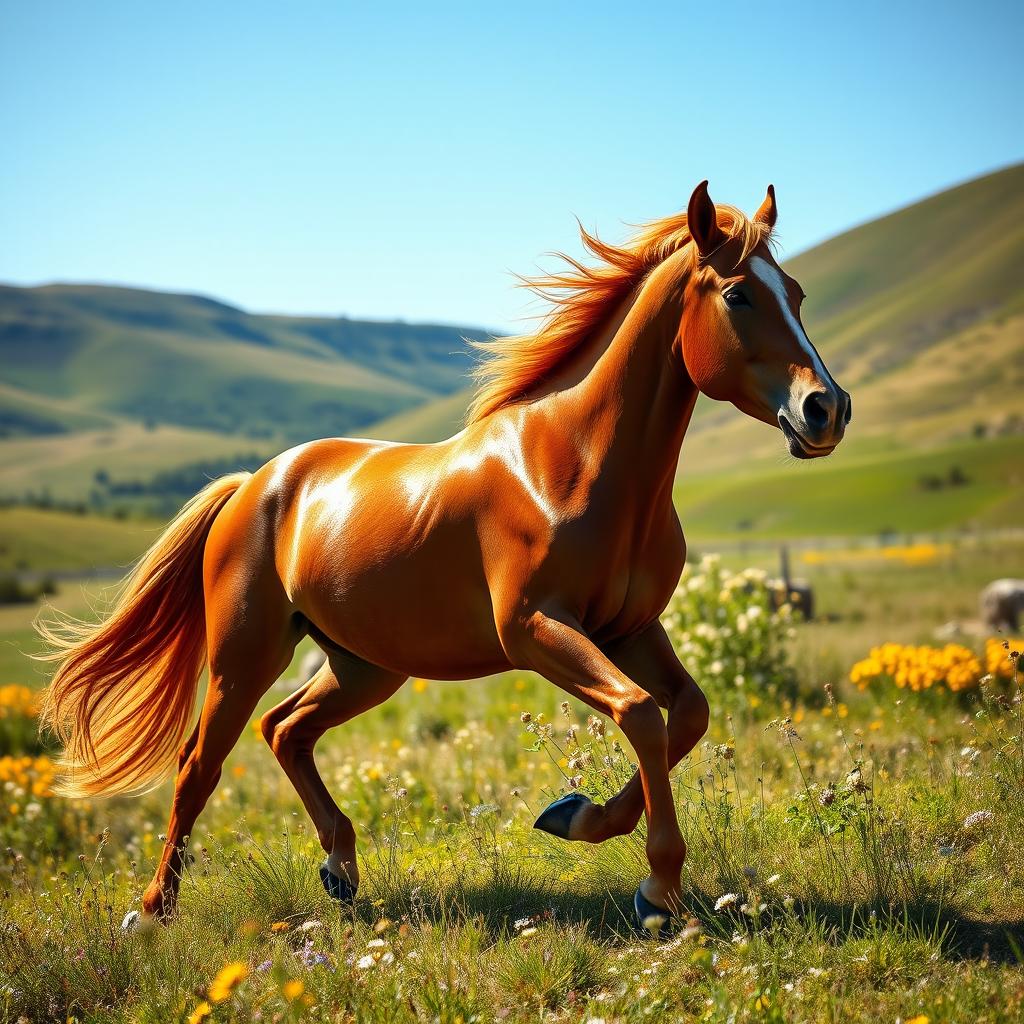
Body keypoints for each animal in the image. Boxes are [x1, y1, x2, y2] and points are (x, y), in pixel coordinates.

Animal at [38, 181, 851, 931]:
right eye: (740, 294)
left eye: (798, 293)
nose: (827, 409)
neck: (574, 464)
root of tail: (254, 484)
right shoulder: (532, 631)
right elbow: (643, 714)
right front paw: (656, 889)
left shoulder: (630, 630)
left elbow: (688, 714)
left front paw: (577, 818)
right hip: (246, 655)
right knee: (197, 768)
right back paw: (153, 911)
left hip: (366, 666)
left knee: (286, 730)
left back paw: (340, 868)